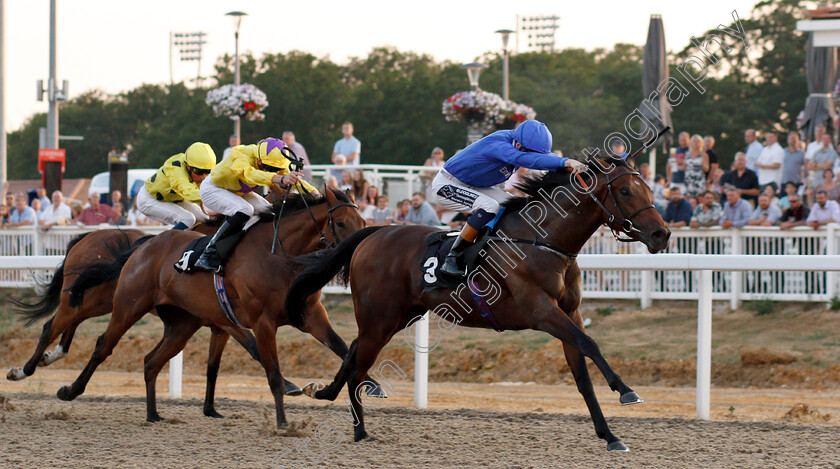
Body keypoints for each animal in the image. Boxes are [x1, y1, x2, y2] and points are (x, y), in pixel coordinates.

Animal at [53, 186, 378, 424]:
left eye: (363, 223)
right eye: (339, 223)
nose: (358, 249)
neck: (279, 255)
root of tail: (143, 245)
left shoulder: (310, 315)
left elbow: (343, 347)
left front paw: (371, 384)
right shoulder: (259, 322)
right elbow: (269, 369)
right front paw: (284, 421)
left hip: (181, 323)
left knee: (151, 361)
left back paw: (153, 414)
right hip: (127, 305)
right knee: (100, 344)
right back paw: (68, 389)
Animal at [286, 153, 672, 450]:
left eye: (648, 188)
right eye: (625, 190)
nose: (662, 234)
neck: (541, 239)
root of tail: (373, 232)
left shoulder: (569, 312)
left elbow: (582, 375)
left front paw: (610, 436)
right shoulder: (541, 311)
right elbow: (590, 343)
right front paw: (626, 391)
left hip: (397, 317)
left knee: (353, 352)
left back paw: (330, 398)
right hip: (379, 318)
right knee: (357, 361)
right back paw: (359, 431)